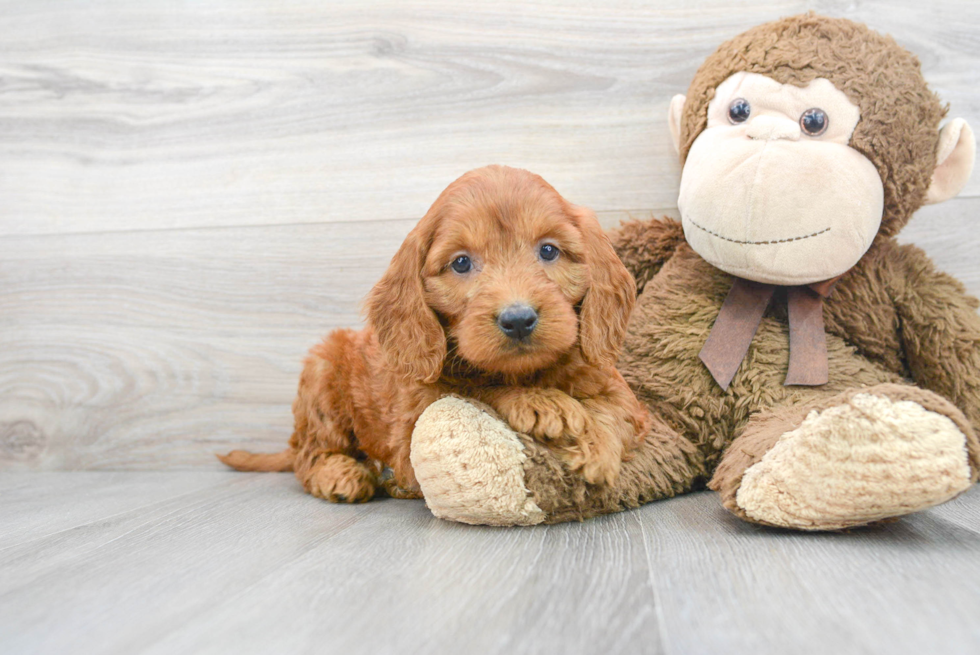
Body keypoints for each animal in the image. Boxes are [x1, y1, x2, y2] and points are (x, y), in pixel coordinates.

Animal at [222, 164, 652, 502]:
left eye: (548, 251)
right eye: (461, 263)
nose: (518, 319)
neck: (528, 372)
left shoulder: (616, 388)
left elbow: (617, 410)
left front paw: (595, 447)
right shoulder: (414, 418)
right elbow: (475, 389)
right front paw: (541, 403)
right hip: (321, 371)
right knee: (307, 455)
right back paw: (341, 475)